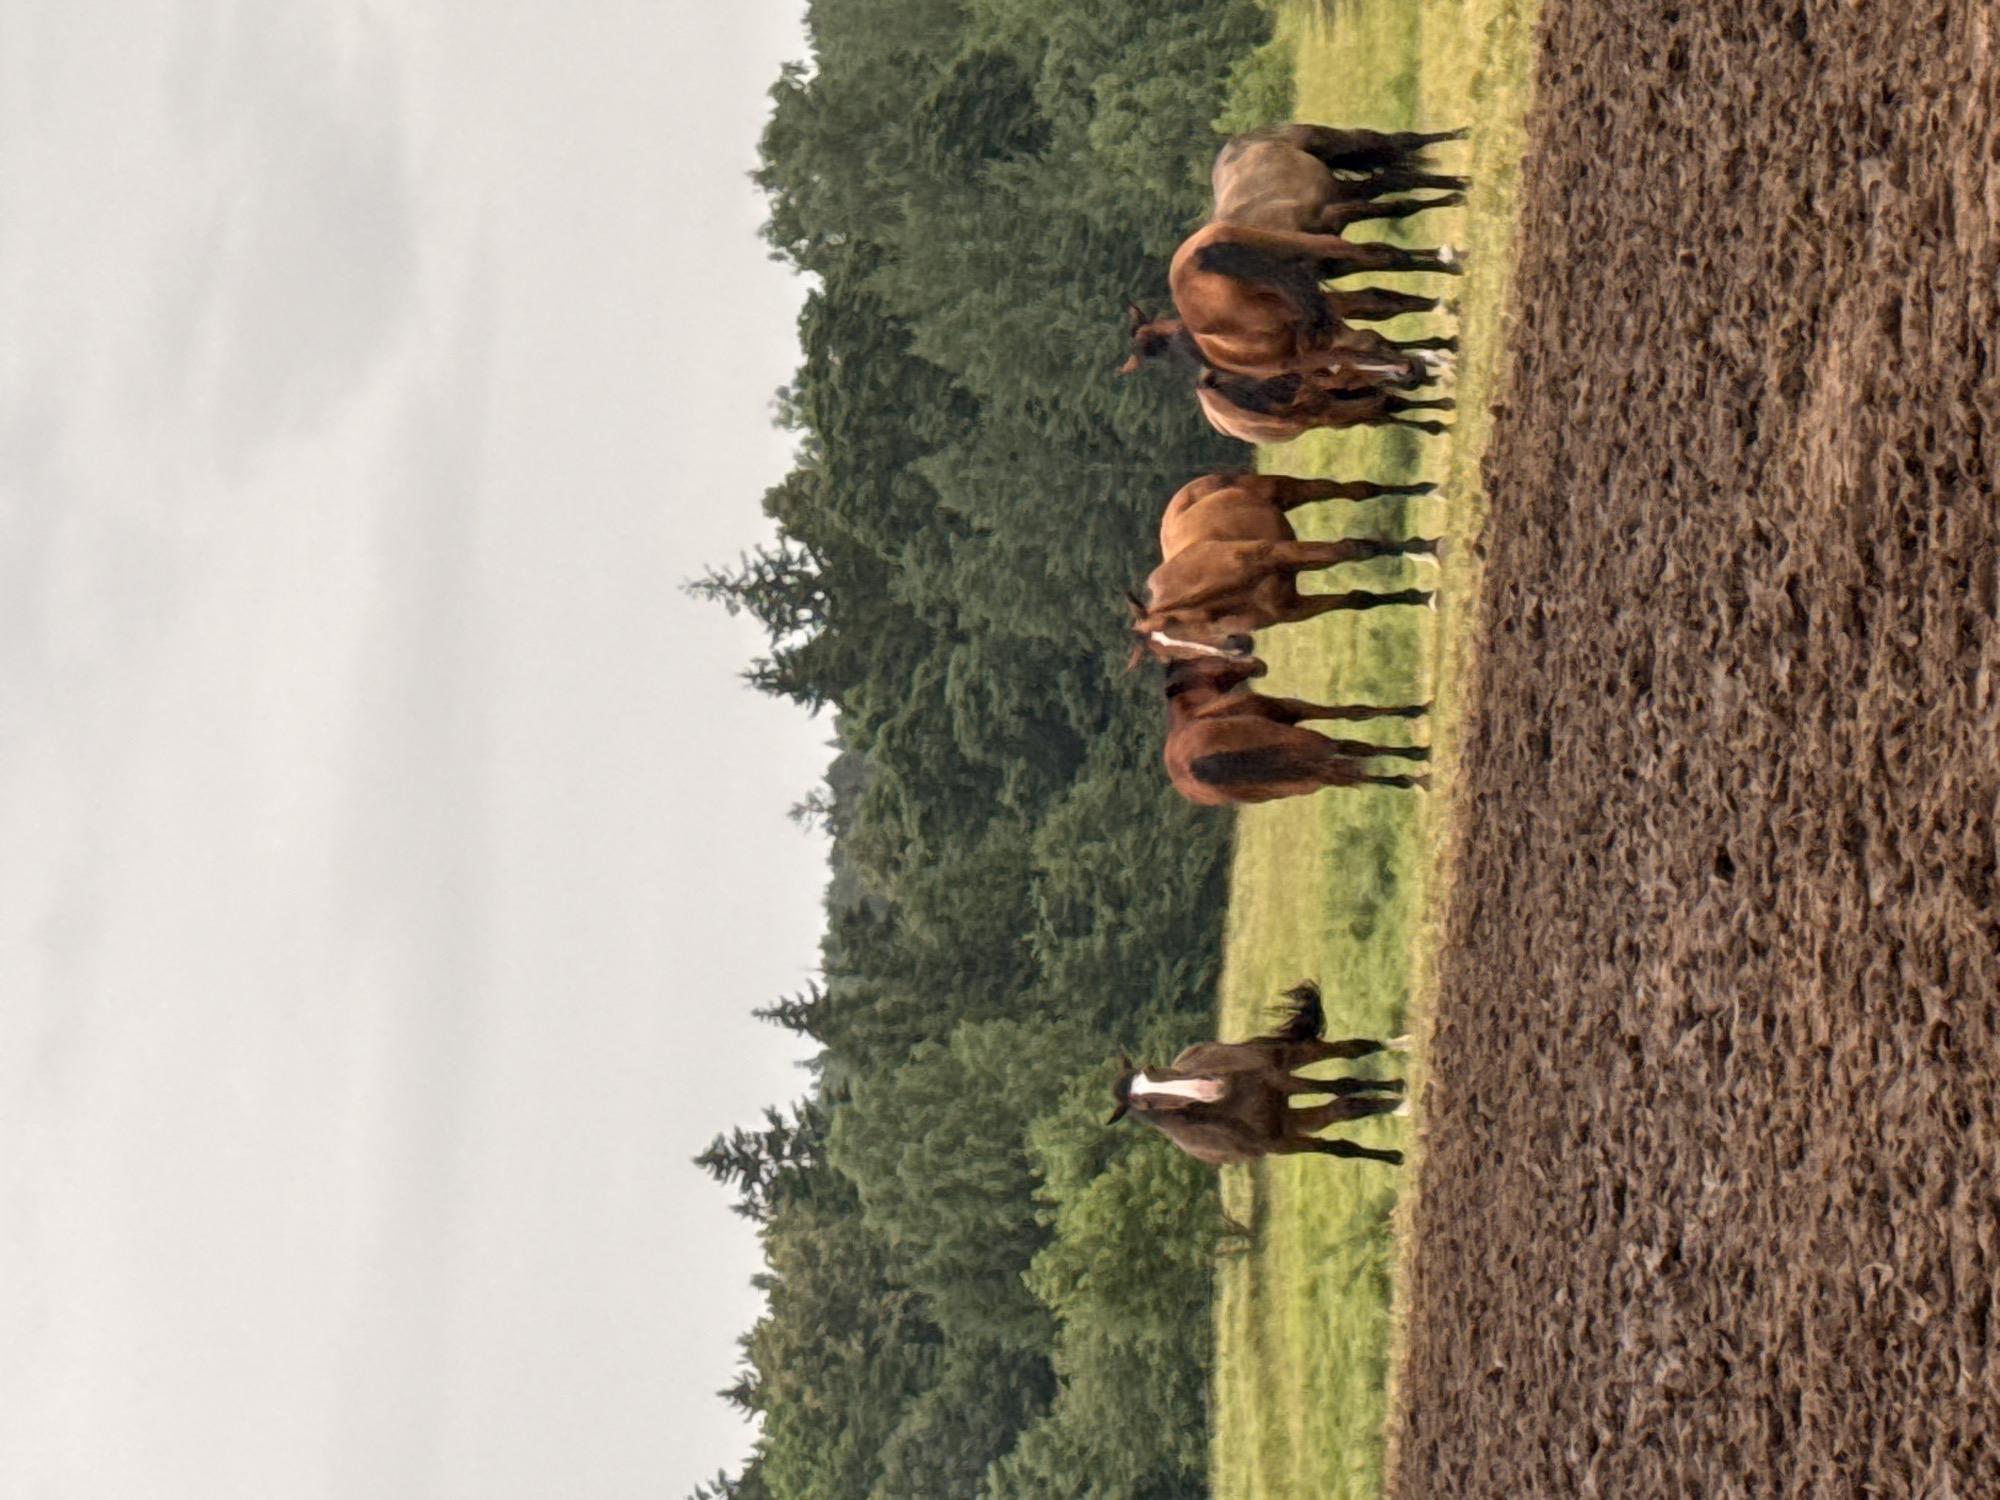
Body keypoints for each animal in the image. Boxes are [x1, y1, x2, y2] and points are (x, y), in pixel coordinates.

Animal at [1108, 981, 1410, 1167]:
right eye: (1147, 1105)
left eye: (1151, 1069)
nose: (1213, 1087)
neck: (1230, 1106)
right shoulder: (1283, 1142)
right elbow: (1342, 1144)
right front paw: (1394, 1155)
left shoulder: (1280, 1080)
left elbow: (1345, 1086)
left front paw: (1400, 1103)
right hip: (1294, 1117)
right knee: (1339, 1103)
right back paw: (1399, 1089)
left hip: (1293, 1056)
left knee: (1354, 1052)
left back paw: (1405, 1051)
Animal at [1131, 472, 1438, 664]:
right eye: (1171, 657)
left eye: (1176, 623)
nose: (1238, 649)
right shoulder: (1292, 608)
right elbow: (1359, 599)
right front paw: (1420, 596)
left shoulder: (1281, 554)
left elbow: (1356, 549)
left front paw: (1428, 547)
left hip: (1285, 490)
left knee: (1356, 491)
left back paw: (1428, 492)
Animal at [1163, 656, 1430, 803]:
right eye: (1197, 661)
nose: (1257, 664)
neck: (1202, 709)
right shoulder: (1295, 710)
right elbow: (1356, 717)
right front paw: (1417, 716)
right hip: (1306, 745)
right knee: (1347, 756)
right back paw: (1417, 776)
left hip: (1293, 782)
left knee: (1344, 774)